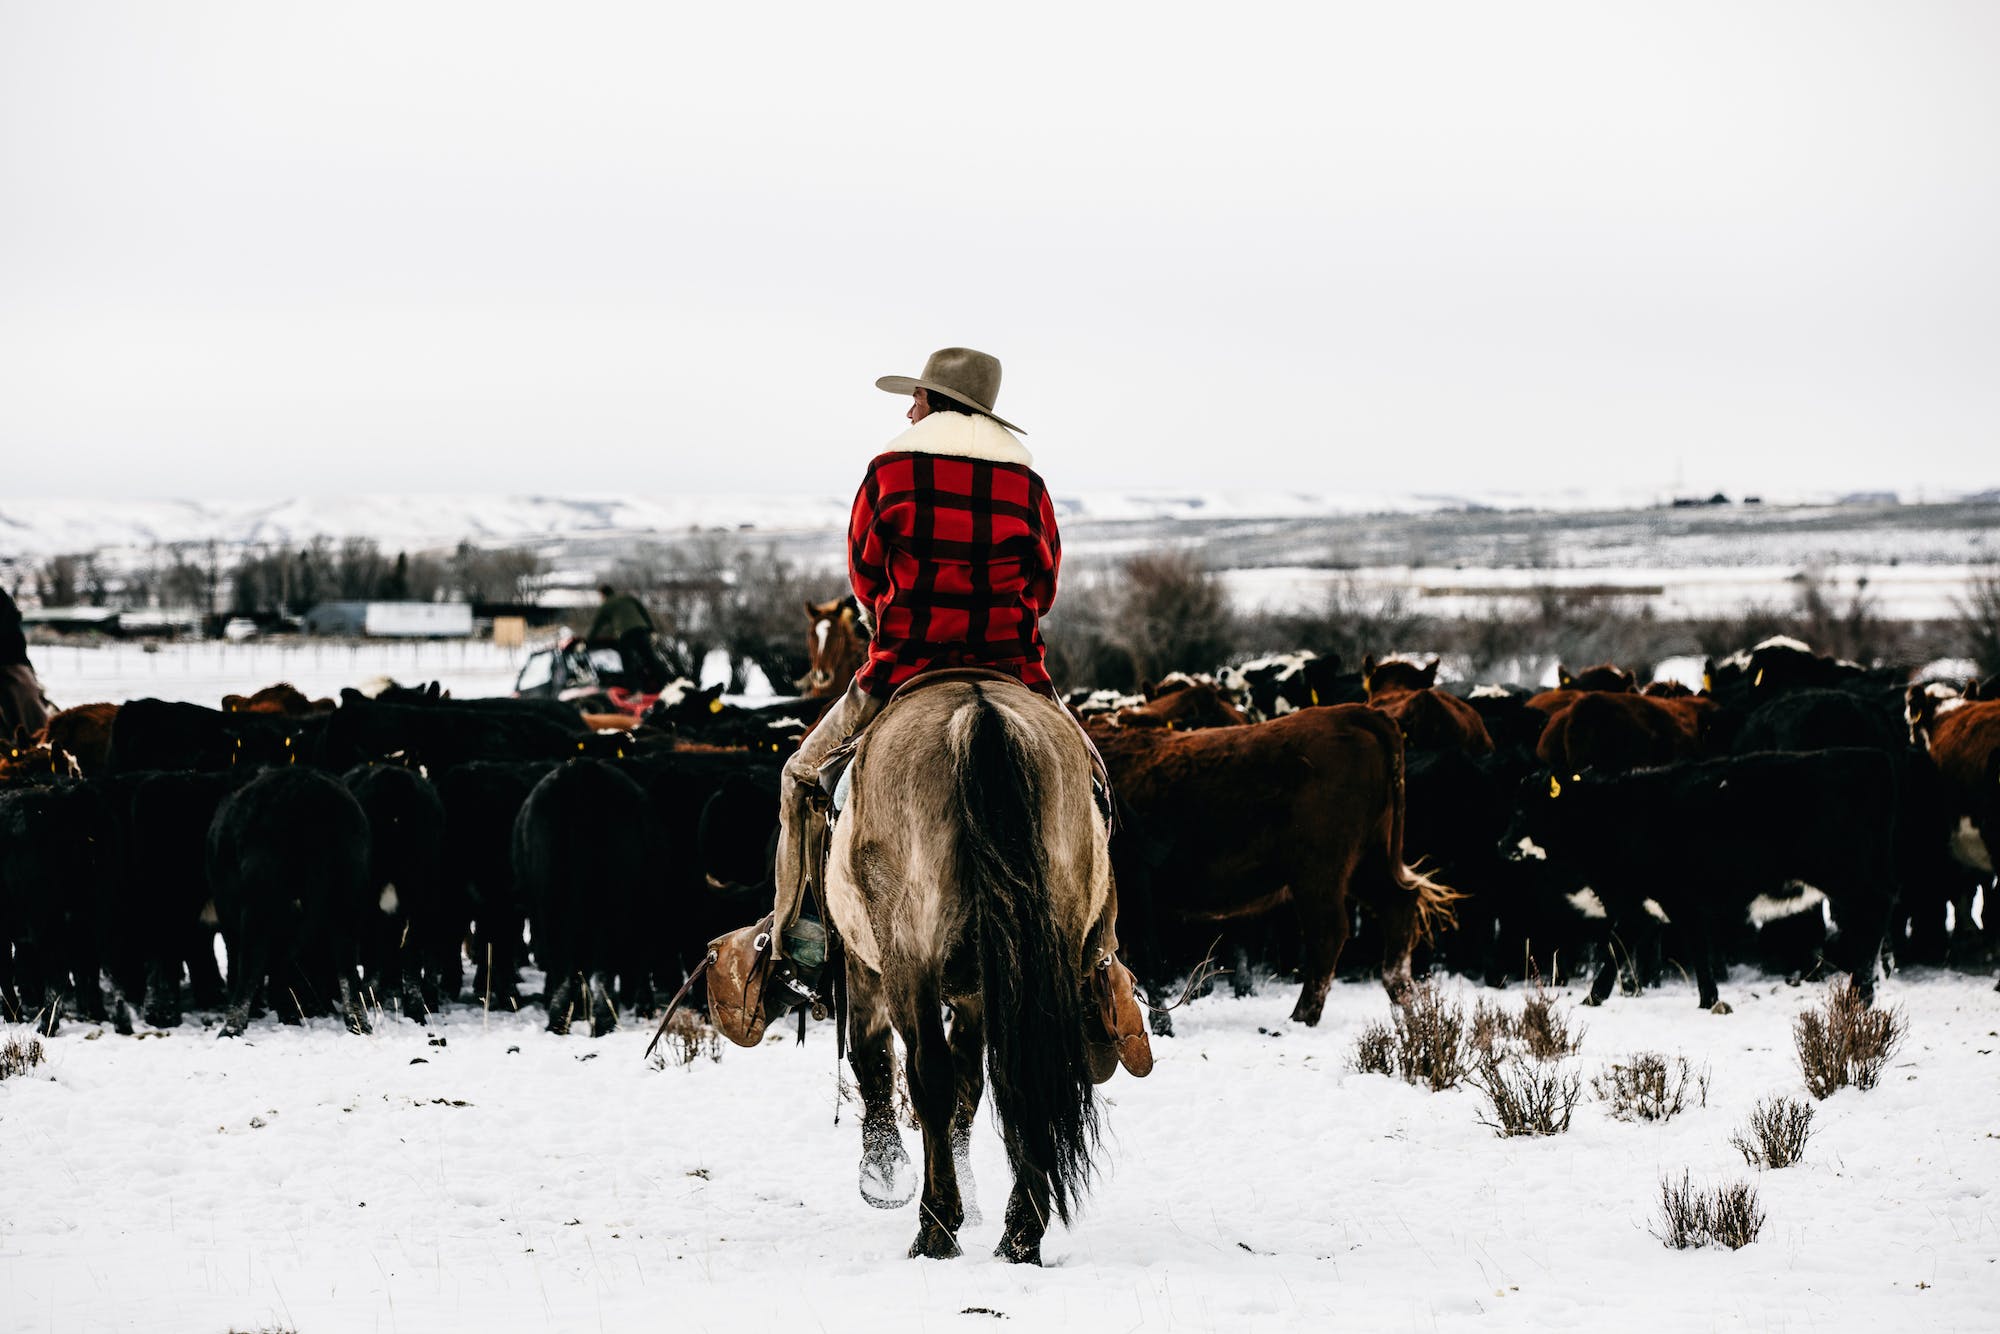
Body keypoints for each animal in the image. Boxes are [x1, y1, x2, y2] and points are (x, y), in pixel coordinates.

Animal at [213, 768, 376, 1040]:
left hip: (260, 901)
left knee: (252, 962)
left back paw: (232, 1028)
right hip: (346, 898)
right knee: (345, 965)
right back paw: (357, 1024)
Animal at [820, 680, 1120, 1264]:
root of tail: (978, 712)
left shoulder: (865, 964)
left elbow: (874, 1056)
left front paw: (883, 1170)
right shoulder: (978, 993)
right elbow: (971, 1084)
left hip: (908, 957)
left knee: (927, 1075)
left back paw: (936, 1228)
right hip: (1042, 958)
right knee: (1026, 1074)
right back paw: (1020, 1236)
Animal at [1096, 704, 1456, 1032]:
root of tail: (1352, 713)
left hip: (1318, 875)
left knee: (1328, 933)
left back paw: (1301, 1017)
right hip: (1366, 863)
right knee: (1399, 905)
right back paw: (1406, 1001)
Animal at [1504, 752, 1896, 1012]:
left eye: (1522, 811)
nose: (1499, 844)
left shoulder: (1676, 902)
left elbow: (1694, 954)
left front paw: (1710, 1001)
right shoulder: (1641, 907)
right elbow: (1618, 952)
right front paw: (1592, 999)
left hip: (1846, 877)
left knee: (1874, 916)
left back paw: (1861, 995)